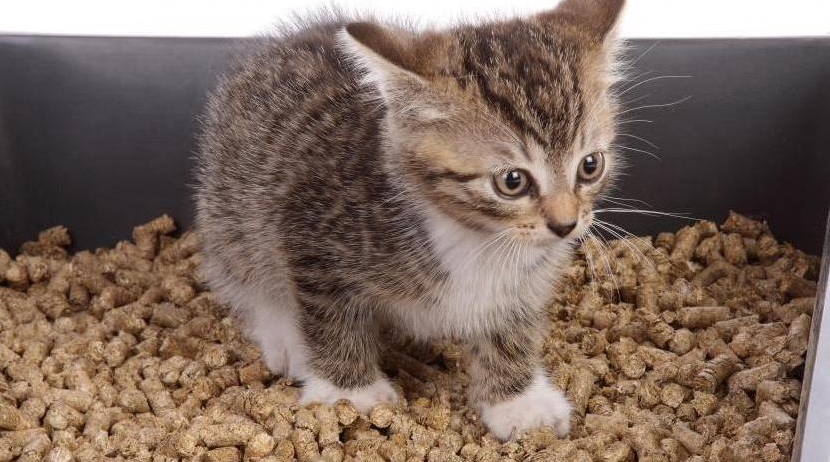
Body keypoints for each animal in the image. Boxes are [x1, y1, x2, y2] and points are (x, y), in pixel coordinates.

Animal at [195, 0, 625, 440]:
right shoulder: (313, 233)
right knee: (248, 269)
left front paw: (517, 401)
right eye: (512, 181)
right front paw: (350, 392)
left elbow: (510, 327)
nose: (565, 225)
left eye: (590, 165)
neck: (477, 236)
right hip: (234, 205)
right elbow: (331, 317)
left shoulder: (524, 281)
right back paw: (285, 336)